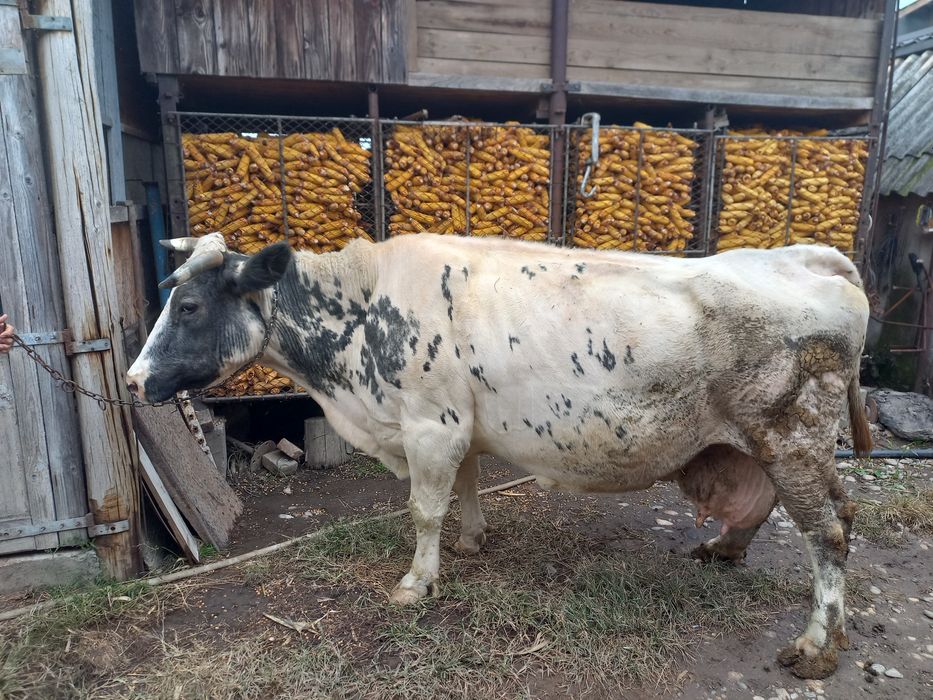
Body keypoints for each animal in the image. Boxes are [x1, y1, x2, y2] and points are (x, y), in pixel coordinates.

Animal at [127, 232, 871, 679]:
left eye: (188, 306)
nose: (133, 381)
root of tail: (805, 256)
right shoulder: (456, 423)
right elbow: (466, 485)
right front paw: (471, 540)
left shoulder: (430, 424)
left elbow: (424, 509)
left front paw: (416, 581)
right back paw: (725, 548)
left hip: (794, 435)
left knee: (829, 529)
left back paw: (815, 645)